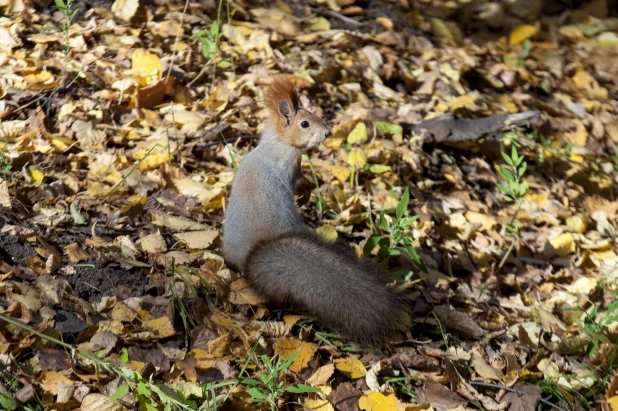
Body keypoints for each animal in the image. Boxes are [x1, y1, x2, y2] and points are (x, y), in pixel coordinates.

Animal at [221, 77, 410, 348]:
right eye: (304, 123)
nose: (327, 133)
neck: (277, 142)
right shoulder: (290, 165)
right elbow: (299, 183)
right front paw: (306, 194)